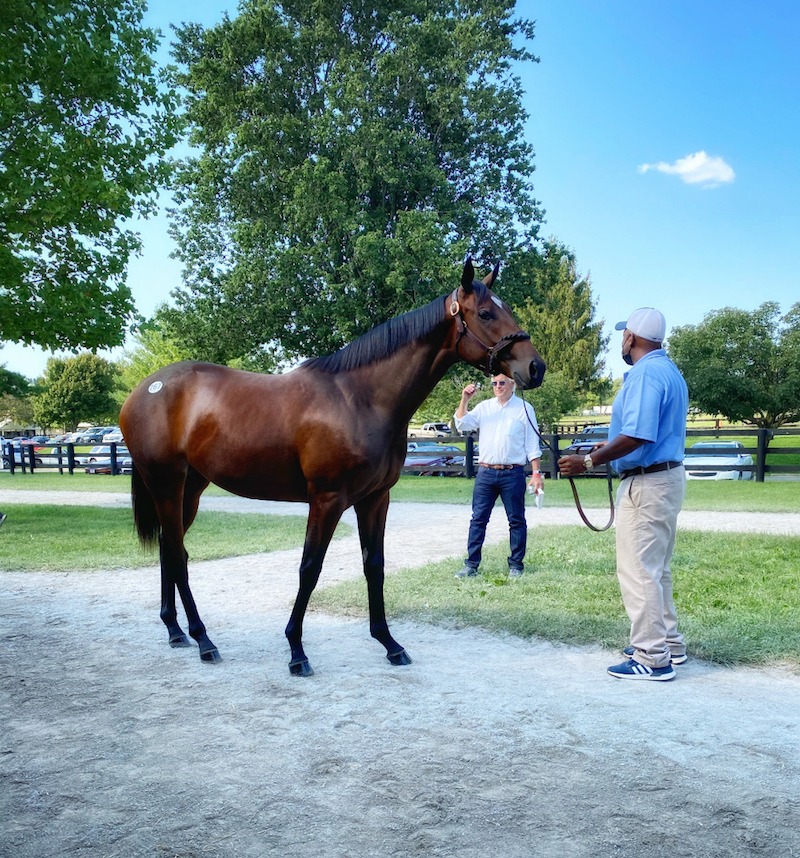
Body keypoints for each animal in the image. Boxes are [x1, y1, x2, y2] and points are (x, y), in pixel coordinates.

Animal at [120, 258, 544, 672]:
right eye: (486, 313)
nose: (535, 367)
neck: (360, 399)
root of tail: (145, 390)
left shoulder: (375, 499)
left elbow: (374, 565)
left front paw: (389, 644)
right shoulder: (327, 500)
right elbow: (310, 568)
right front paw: (296, 651)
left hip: (189, 488)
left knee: (169, 546)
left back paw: (176, 631)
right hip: (166, 483)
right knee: (177, 553)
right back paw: (203, 639)